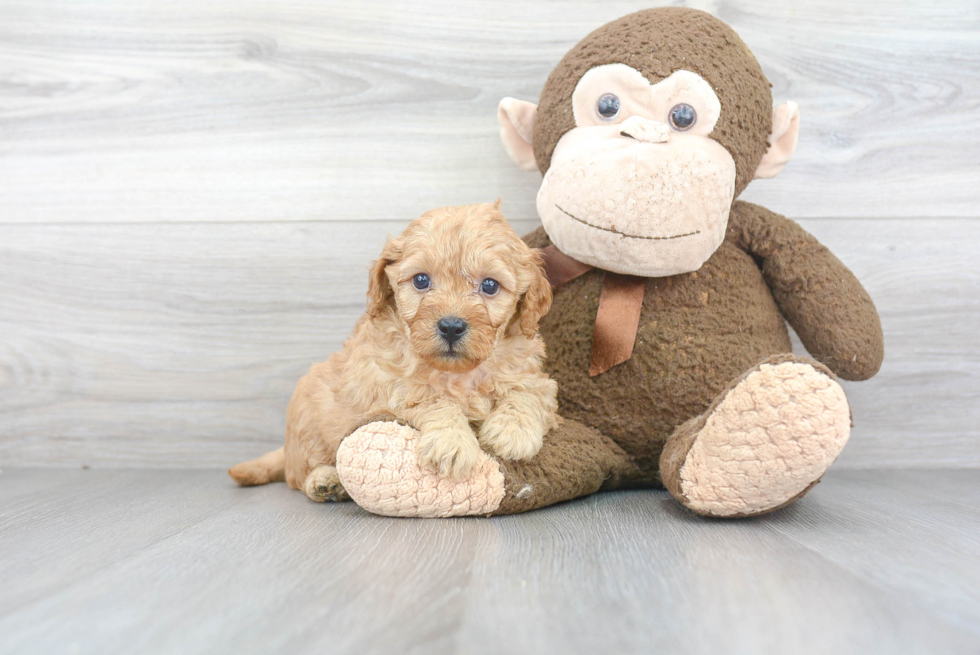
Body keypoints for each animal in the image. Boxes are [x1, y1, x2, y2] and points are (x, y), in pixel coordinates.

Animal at [225, 202, 556, 504]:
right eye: (421, 280)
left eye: (489, 285)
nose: (451, 326)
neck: (458, 373)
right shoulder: (389, 387)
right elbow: (433, 400)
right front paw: (452, 442)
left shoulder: (535, 377)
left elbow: (527, 393)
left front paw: (513, 432)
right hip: (308, 416)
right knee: (299, 473)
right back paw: (325, 480)